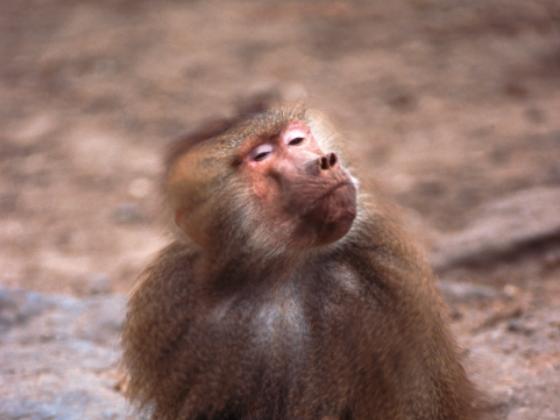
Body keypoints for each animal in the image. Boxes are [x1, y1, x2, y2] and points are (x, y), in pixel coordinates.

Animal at [120, 102, 488, 420]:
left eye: (296, 140)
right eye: (262, 156)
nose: (325, 160)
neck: (278, 271)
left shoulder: (372, 296)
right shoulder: (173, 305)